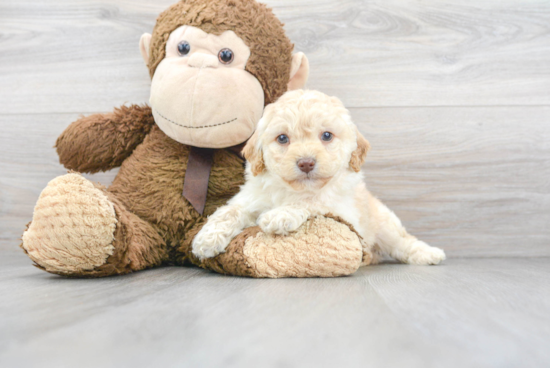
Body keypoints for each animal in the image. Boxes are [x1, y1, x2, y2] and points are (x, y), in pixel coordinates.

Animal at [192, 90, 446, 266]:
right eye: (282, 138)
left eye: (326, 135)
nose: (306, 163)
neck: (293, 189)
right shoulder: (250, 198)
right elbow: (228, 212)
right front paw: (206, 239)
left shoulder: (341, 208)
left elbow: (312, 201)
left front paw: (279, 216)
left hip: (385, 223)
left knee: (402, 241)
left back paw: (429, 254)